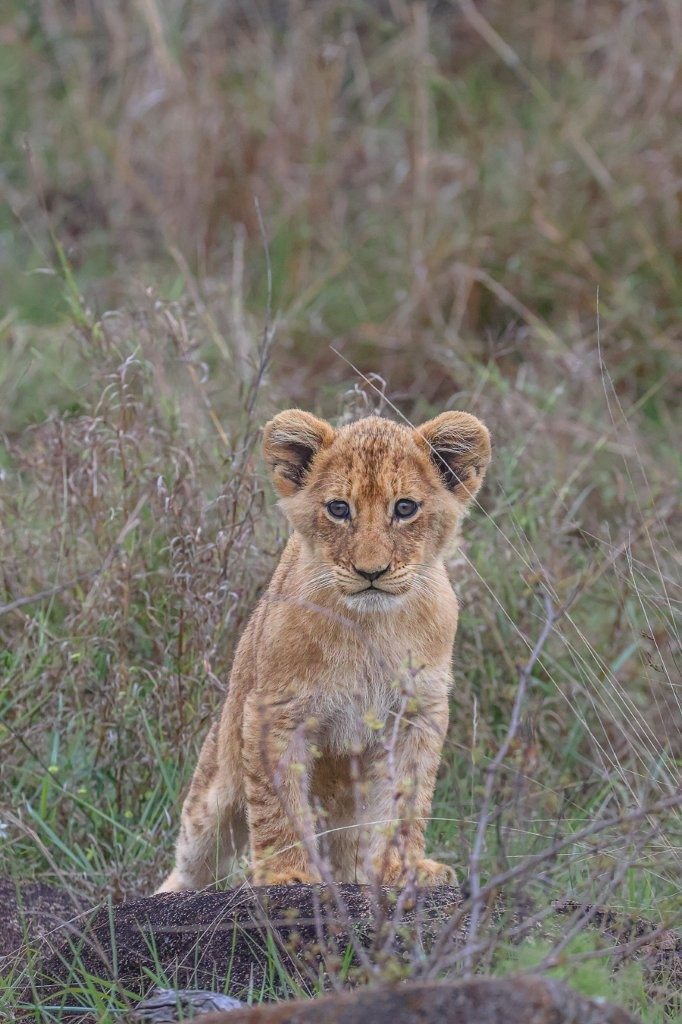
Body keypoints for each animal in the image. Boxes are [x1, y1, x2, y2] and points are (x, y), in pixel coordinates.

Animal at [157, 409, 491, 891]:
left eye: (404, 508)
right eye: (339, 509)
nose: (371, 572)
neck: (371, 627)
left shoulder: (416, 713)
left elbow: (406, 799)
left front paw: (404, 870)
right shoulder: (276, 711)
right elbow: (279, 803)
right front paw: (287, 875)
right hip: (214, 788)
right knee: (193, 860)